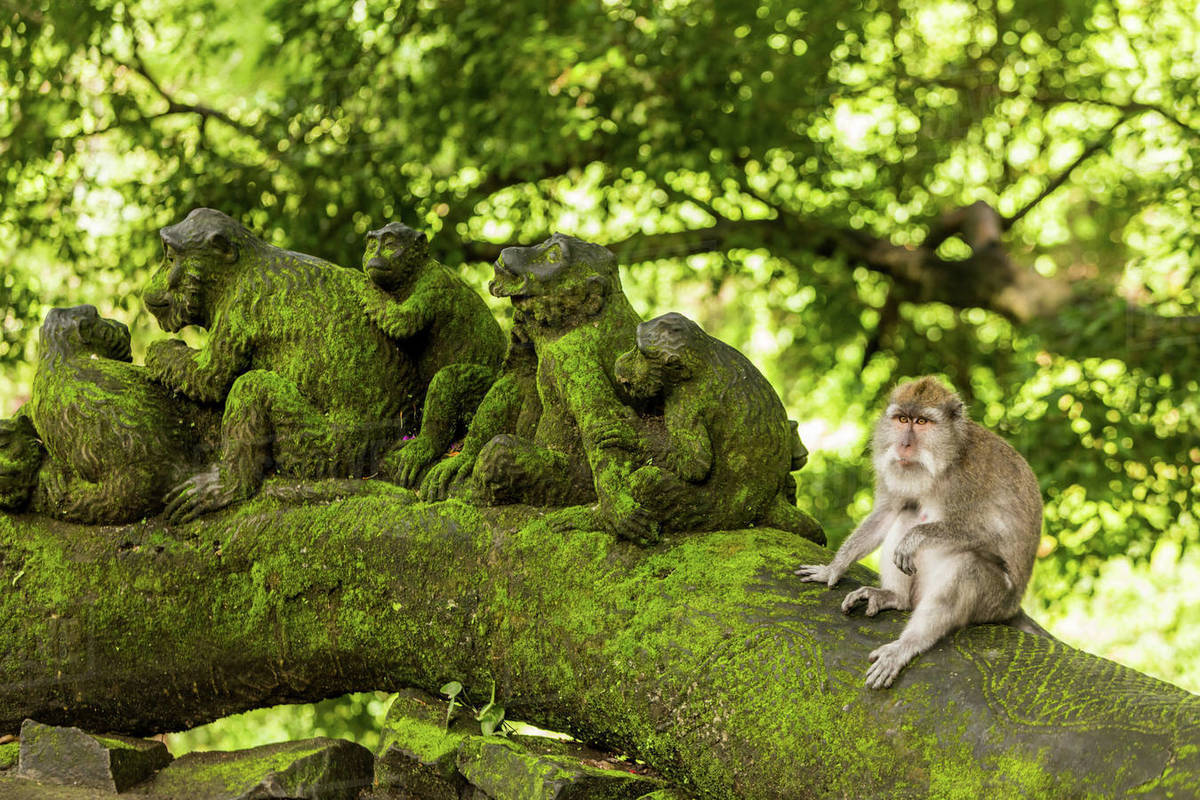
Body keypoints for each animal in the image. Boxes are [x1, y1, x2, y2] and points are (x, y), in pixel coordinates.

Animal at [794, 376, 1044, 689]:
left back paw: (907, 645)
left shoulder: (968, 480)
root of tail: (1013, 608)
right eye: (903, 419)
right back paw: (894, 597)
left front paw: (916, 538)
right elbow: (888, 512)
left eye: (922, 422)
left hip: (995, 603)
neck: (945, 461)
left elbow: (992, 534)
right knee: (908, 513)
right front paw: (833, 568)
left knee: (969, 566)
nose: (904, 444)